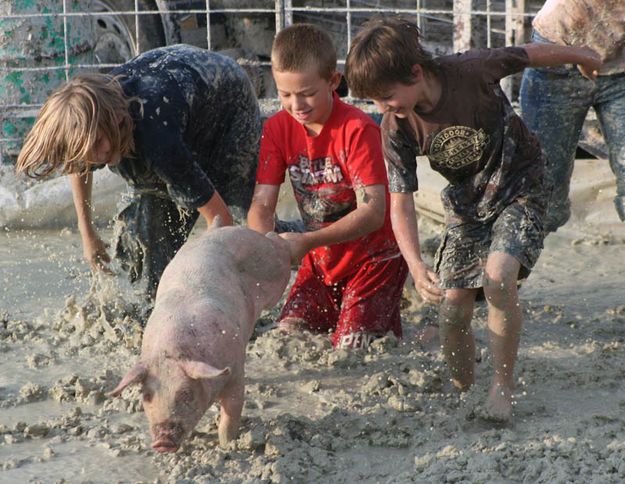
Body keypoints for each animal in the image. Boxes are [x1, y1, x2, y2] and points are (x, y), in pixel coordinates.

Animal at [108, 221, 292, 452]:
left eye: (185, 393)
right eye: (146, 395)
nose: (162, 442)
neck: (174, 349)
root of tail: (219, 228)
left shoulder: (235, 370)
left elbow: (231, 413)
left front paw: (227, 445)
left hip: (272, 263)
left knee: (281, 244)